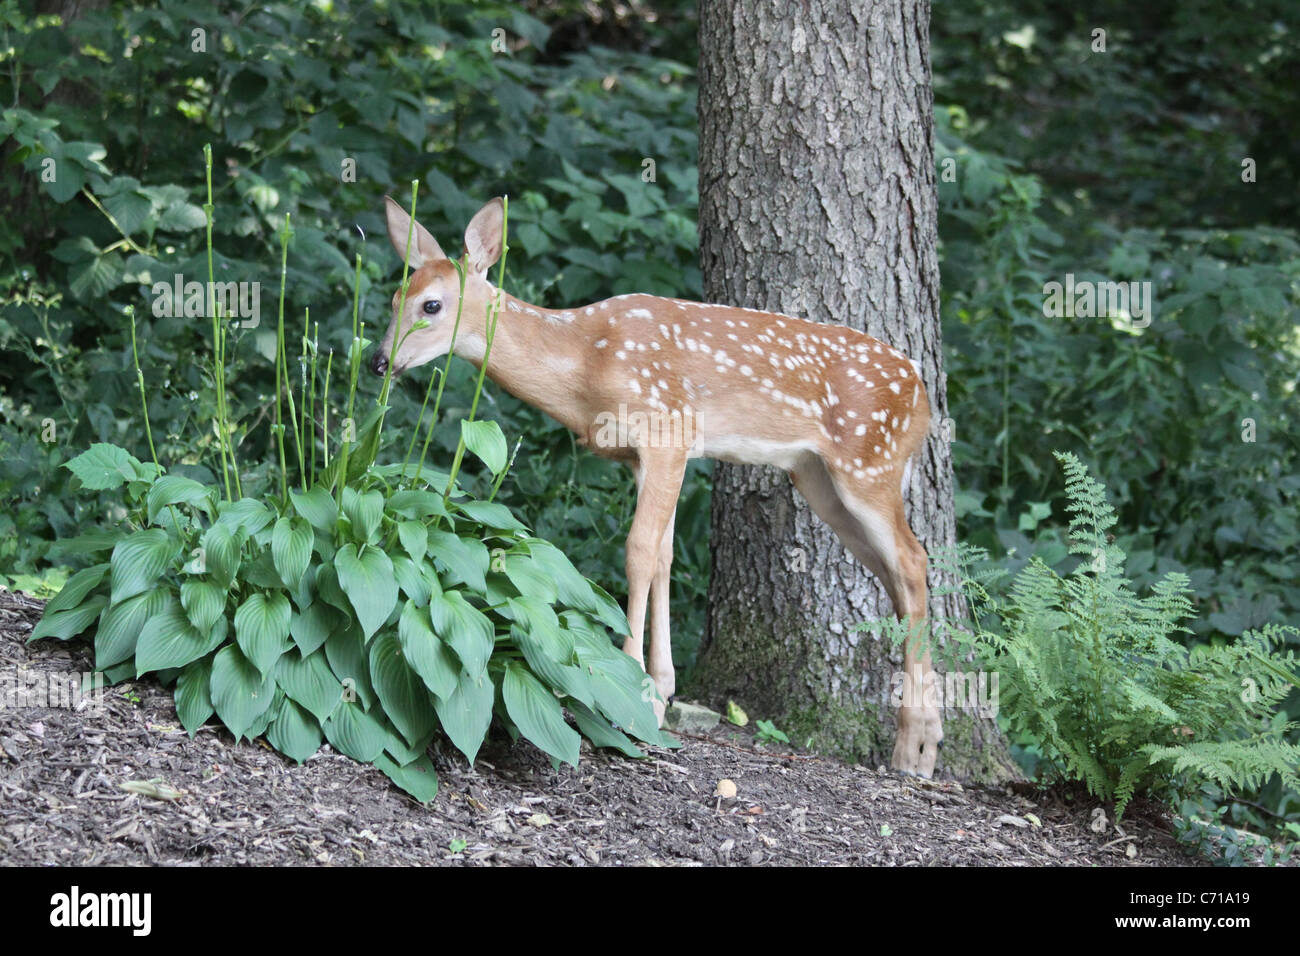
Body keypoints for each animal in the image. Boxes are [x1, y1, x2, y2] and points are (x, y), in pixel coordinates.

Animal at [372, 196, 943, 777]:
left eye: (432, 306)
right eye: (395, 297)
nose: (378, 361)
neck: (586, 363)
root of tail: (923, 391)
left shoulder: (667, 429)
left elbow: (639, 550)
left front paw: (631, 690)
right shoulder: (643, 456)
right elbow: (665, 555)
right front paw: (659, 689)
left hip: (868, 462)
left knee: (912, 559)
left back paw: (911, 750)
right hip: (817, 477)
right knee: (898, 575)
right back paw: (929, 737)